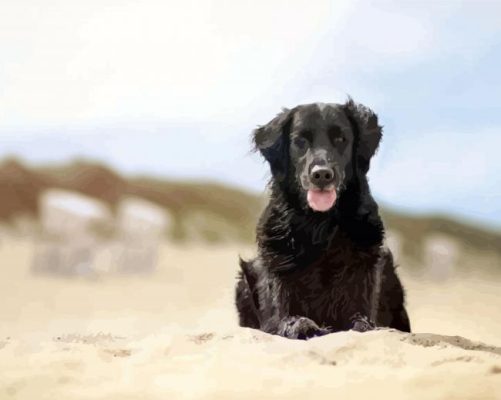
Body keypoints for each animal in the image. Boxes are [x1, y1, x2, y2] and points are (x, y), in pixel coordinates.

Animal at [234, 99, 410, 338]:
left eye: (341, 139)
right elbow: (290, 318)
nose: (322, 175)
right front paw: (303, 325)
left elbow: (361, 321)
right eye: (300, 141)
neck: (319, 224)